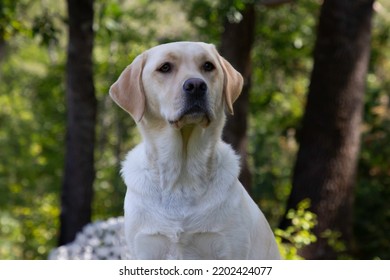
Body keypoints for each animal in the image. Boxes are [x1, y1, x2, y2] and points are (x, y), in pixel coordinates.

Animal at [109, 41, 280, 260]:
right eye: (165, 67)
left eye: (208, 66)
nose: (196, 85)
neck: (182, 176)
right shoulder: (147, 248)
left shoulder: (228, 248)